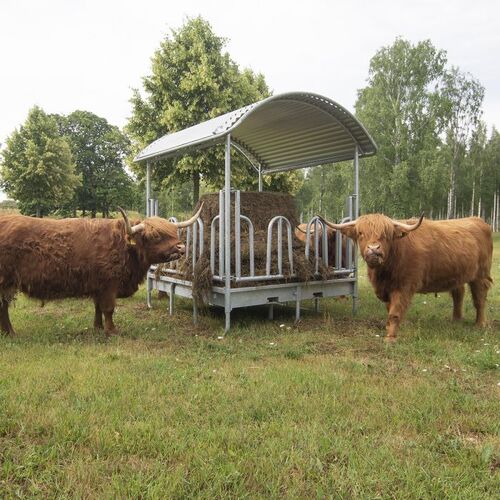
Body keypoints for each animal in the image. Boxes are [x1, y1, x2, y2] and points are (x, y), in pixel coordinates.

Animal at [320, 213, 492, 342]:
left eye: (386, 235)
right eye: (361, 233)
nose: (374, 249)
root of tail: (477, 220)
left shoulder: (404, 286)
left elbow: (395, 312)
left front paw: (390, 337)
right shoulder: (386, 289)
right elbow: (389, 309)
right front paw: (389, 328)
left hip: (481, 274)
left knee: (480, 298)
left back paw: (480, 324)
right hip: (457, 275)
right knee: (458, 294)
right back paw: (456, 319)